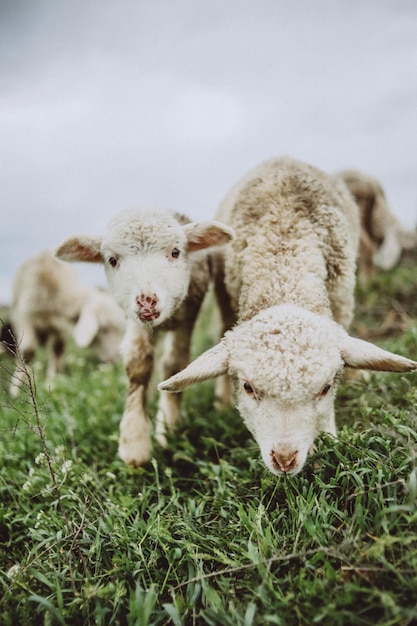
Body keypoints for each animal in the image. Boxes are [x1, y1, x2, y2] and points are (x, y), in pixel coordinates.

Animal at [8, 250, 125, 392]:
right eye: (104, 329)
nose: (117, 358)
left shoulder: (59, 327)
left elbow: (57, 350)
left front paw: (52, 381)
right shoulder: (25, 318)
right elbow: (28, 352)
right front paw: (16, 389)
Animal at [53, 207, 232, 466]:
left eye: (176, 252)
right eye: (112, 260)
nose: (147, 300)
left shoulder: (188, 316)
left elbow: (174, 364)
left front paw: (168, 426)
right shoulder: (135, 320)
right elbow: (138, 364)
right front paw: (134, 443)